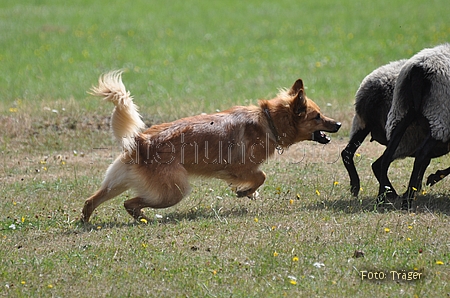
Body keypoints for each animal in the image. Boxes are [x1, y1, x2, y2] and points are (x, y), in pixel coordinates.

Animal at [81, 71, 342, 222]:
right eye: (317, 116)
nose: (339, 124)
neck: (269, 121)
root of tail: (139, 141)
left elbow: (257, 179)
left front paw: (248, 193)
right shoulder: (239, 167)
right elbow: (262, 176)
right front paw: (245, 192)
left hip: (118, 182)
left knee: (91, 200)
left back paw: (85, 222)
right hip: (174, 191)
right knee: (130, 202)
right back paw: (141, 217)